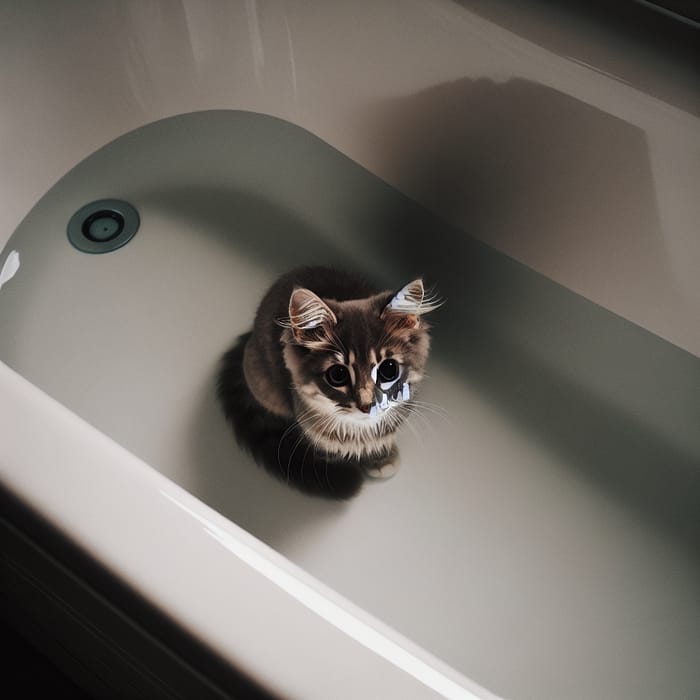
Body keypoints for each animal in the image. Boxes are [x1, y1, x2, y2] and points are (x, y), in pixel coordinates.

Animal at [216, 266, 440, 500]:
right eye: (338, 374)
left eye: (388, 369)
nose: (367, 405)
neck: (358, 430)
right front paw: (337, 464)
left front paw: (381, 457)